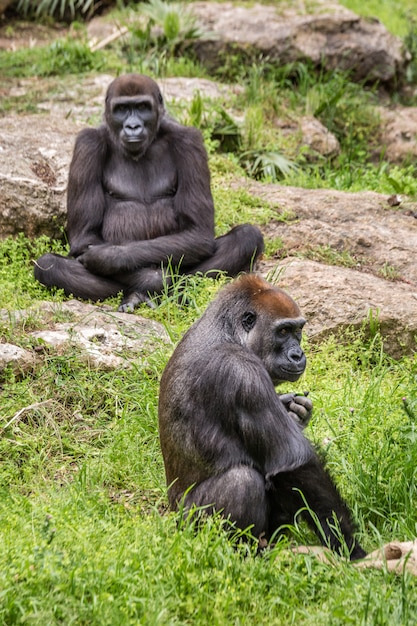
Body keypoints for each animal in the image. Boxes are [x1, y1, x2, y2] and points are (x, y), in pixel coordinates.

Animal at [35, 73, 264, 312]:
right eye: (122, 109)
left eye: (142, 107)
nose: (133, 126)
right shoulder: (87, 145)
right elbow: (84, 237)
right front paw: (151, 279)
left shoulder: (189, 141)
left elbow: (198, 232)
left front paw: (110, 257)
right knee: (48, 265)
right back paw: (136, 293)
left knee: (246, 237)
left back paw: (174, 292)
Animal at [158, 276, 366, 560]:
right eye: (282, 332)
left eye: (297, 330)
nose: (297, 355)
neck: (229, 332)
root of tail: (171, 519)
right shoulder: (243, 374)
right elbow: (294, 462)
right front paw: (350, 547)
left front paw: (296, 411)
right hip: (188, 526)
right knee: (243, 482)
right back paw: (244, 553)